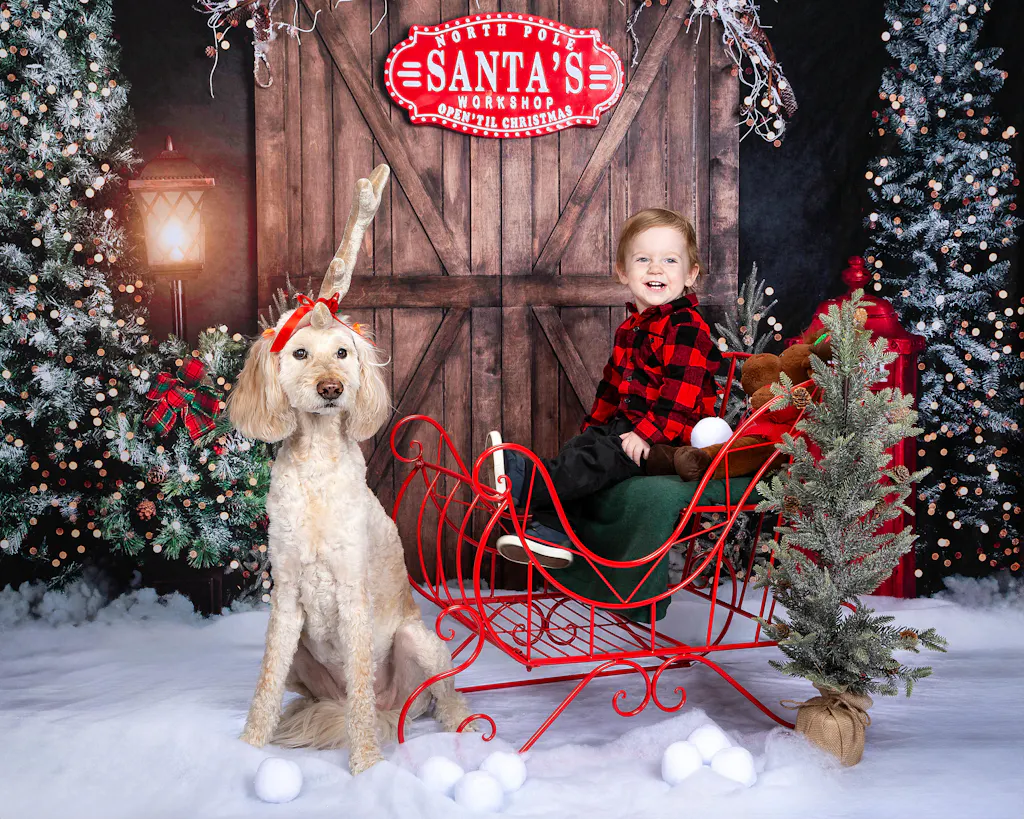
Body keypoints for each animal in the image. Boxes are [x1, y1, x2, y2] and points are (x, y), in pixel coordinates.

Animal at [229, 165, 472, 774]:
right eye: (298, 353)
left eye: (342, 352)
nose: (331, 389)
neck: (317, 466)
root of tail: (394, 709)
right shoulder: (285, 600)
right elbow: (265, 685)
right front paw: (248, 747)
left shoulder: (353, 598)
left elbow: (361, 684)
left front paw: (365, 765)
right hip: (302, 661)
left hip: (421, 643)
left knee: (435, 695)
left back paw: (457, 725)